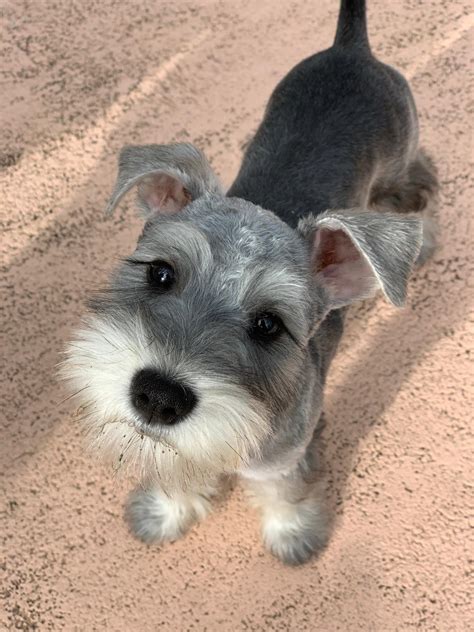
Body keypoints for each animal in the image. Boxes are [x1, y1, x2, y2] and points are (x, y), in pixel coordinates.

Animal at [61, 0, 438, 564]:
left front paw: (292, 533)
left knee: (420, 188)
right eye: (160, 272)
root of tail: (351, 47)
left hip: (401, 165)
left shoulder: (286, 454)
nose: (157, 396)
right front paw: (166, 511)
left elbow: (284, 490)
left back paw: (425, 244)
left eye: (268, 325)